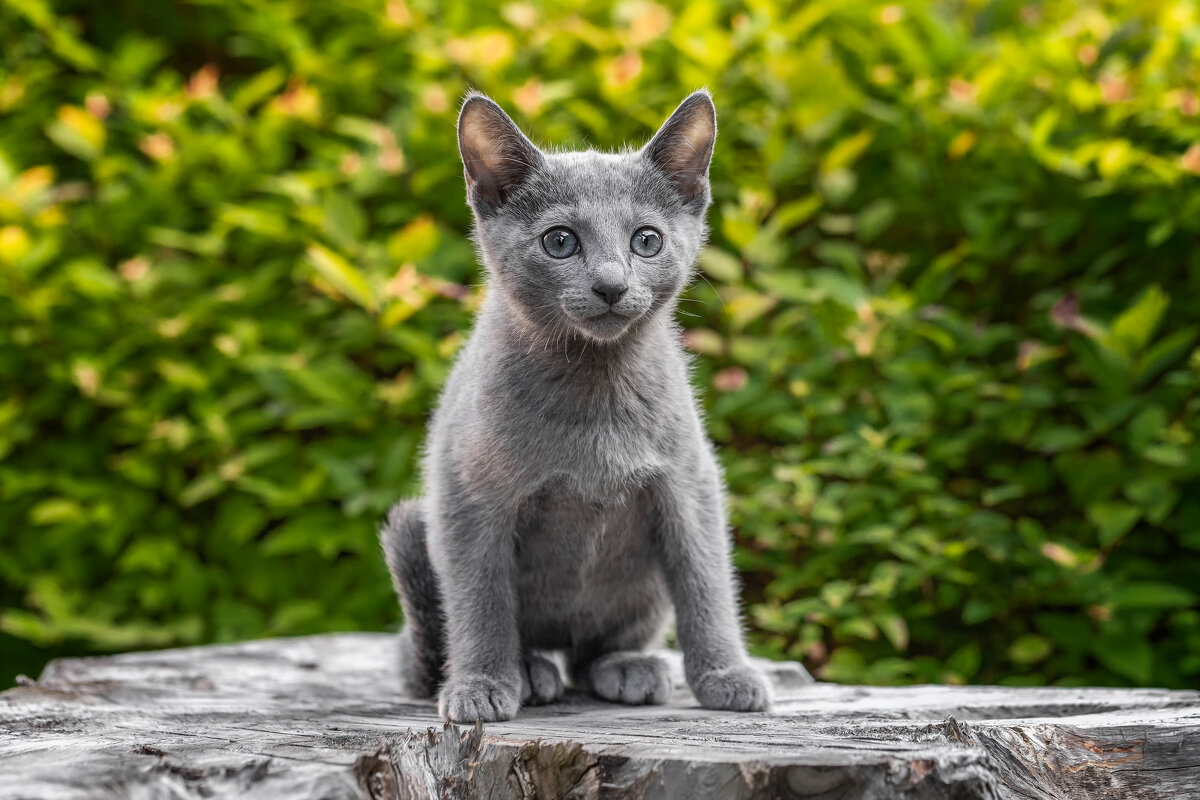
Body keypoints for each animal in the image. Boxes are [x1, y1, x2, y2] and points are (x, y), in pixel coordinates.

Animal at [379, 90, 772, 724]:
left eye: (647, 240)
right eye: (559, 241)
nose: (611, 285)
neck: (595, 384)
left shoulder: (690, 484)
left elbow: (706, 581)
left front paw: (726, 675)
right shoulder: (469, 497)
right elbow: (481, 602)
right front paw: (481, 685)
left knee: (593, 654)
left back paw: (627, 668)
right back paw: (530, 672)